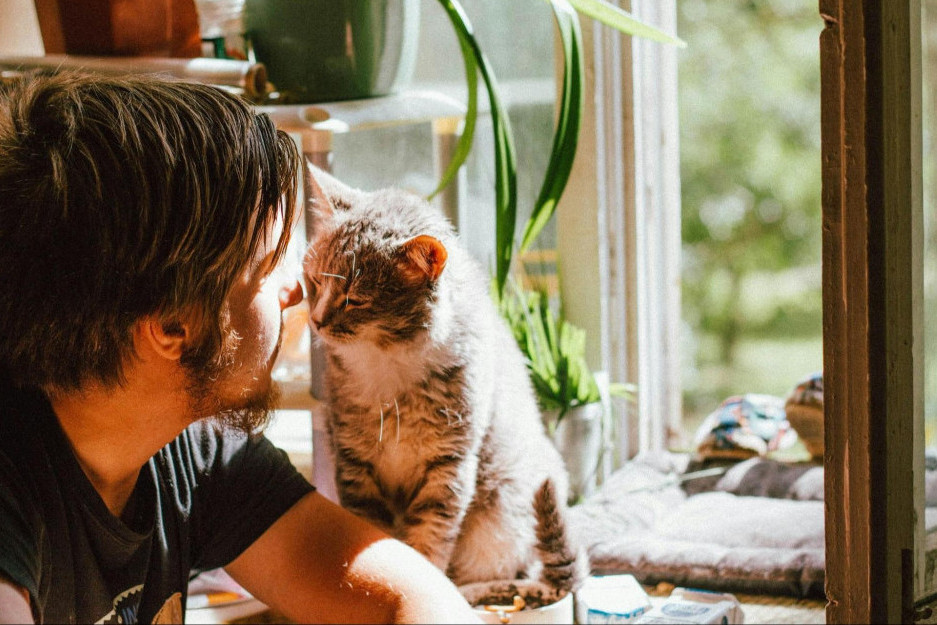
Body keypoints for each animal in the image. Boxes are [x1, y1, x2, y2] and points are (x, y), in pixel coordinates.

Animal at [304, 163, 580, 588]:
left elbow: (429, 540)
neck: (388, 365)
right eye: (315, 282)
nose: (316, 321)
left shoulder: (449, 465)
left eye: (354, 299)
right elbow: (374, 533)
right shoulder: (355, 462)